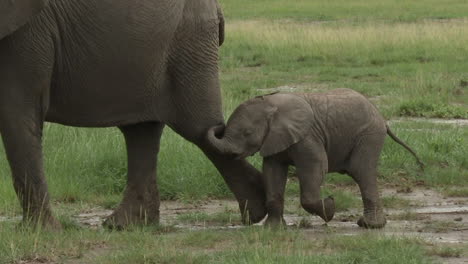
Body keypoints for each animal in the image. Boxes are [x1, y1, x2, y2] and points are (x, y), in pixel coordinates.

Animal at [0, 0, 266, 229]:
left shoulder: (29, 33)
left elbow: (17, 115)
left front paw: (39, 232)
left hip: (189, 44)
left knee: (200, 129)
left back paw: (258, 208)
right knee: (142, 132)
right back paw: (126, 226)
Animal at [207, 87, 422, 228]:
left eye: (247, 133)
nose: (217, 127)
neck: (271, 105)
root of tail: (382, 118)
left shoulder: (307, 136)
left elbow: (316, 166)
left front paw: (331, 207)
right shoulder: (275, 139)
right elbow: (272, 172)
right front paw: (274, 230)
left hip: (368, 136)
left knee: (362, 172)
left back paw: (369, 225)